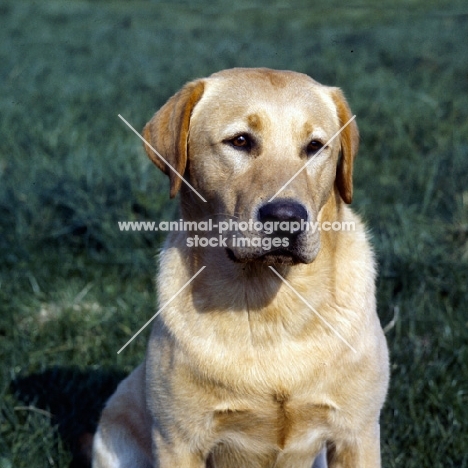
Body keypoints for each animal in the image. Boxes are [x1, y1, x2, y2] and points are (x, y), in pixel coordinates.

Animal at [93, 67, 390, 466]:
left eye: (315, 146)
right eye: (240, 141)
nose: (285, 219)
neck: (269, 307)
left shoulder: (356, 433)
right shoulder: (177, 442)